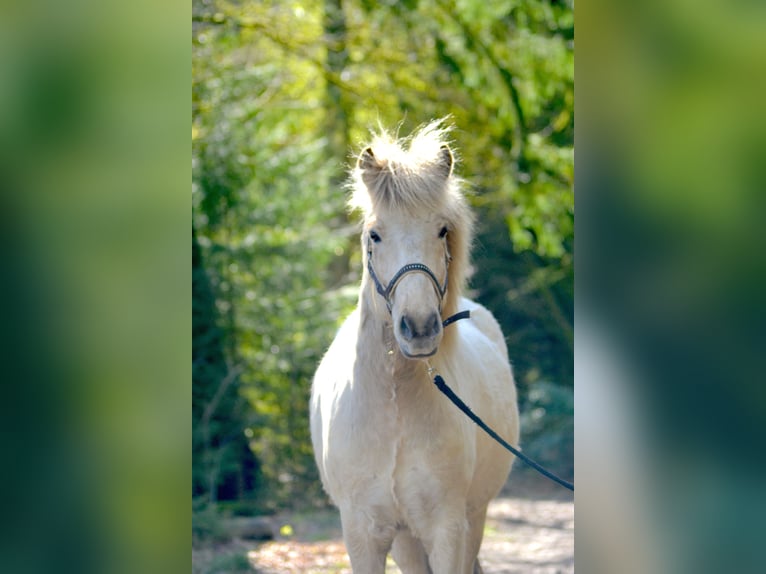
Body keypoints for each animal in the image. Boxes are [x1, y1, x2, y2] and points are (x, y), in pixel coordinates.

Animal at [312, 119, 520, 572]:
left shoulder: (448, 530)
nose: (420, 328)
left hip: (473, 519)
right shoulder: (363, 535)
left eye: (441, 230)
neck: (395, 404)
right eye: (375, 234)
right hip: (406, 538)